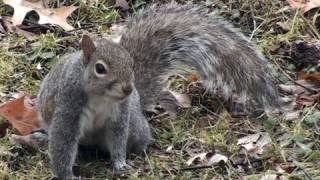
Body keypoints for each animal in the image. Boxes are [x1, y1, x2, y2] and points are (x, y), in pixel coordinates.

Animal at [36, 2, 278, 179]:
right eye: (100, 68)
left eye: (131, 63)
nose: (128, 89)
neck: (101, 97)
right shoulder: (69, 104)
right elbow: (63, 141)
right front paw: (66, 175)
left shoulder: (120, 114)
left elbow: (117, 138)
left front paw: (120, 163)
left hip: (135, 124)